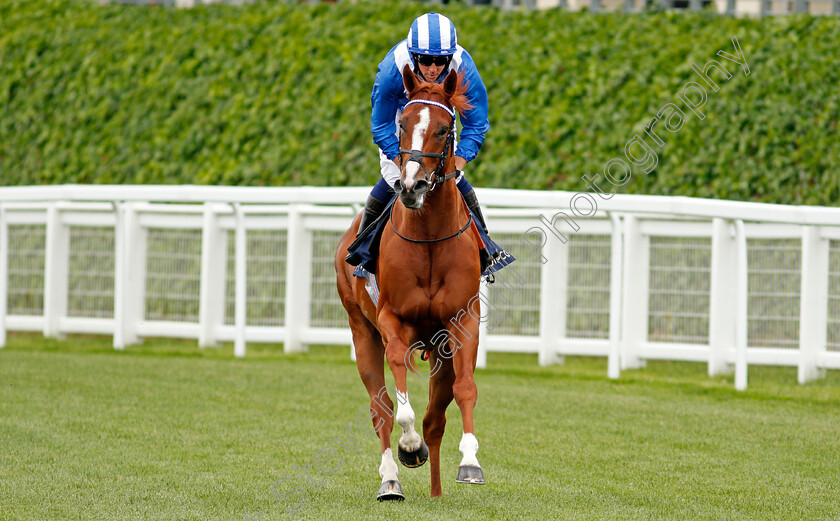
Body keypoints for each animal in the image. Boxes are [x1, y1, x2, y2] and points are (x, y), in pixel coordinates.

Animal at [332, 65, 482, 500]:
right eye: (403, 123)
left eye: (445, 128)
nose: (412, 185)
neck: (429, 235)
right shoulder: (391, 319)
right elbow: (398, 392)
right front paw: (409, 445)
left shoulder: (462, 322)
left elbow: (465, 389)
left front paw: (470, 462)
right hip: (360, 328)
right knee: (379, 407)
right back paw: (391, 480)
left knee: (436, 417)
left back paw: (435, 490)